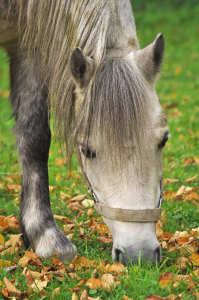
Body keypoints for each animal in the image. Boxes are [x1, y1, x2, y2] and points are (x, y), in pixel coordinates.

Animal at [0, 0, 169, 264]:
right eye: (86, 150)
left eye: (164, 140)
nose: (138, 254)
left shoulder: (28, 46)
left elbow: (34, 135)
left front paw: (42, 233)